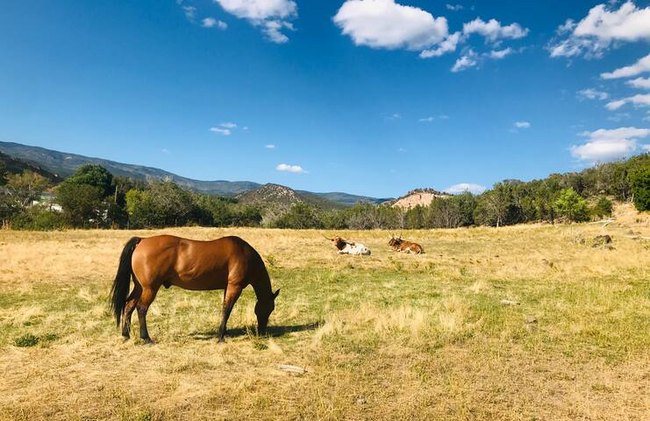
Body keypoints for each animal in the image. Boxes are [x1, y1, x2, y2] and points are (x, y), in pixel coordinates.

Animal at [109, 235, 276, 342]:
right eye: (270, 308)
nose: (262, 331)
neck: (244, 254)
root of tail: (142, 240)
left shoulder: (227, 287)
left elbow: (224, 309)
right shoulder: (235, 287)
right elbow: (227, 309)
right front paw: (220, 336)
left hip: (139, 287)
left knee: (129, 305)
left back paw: (126, 334)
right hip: (149, 288)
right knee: (141, 308)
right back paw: (146, 338)